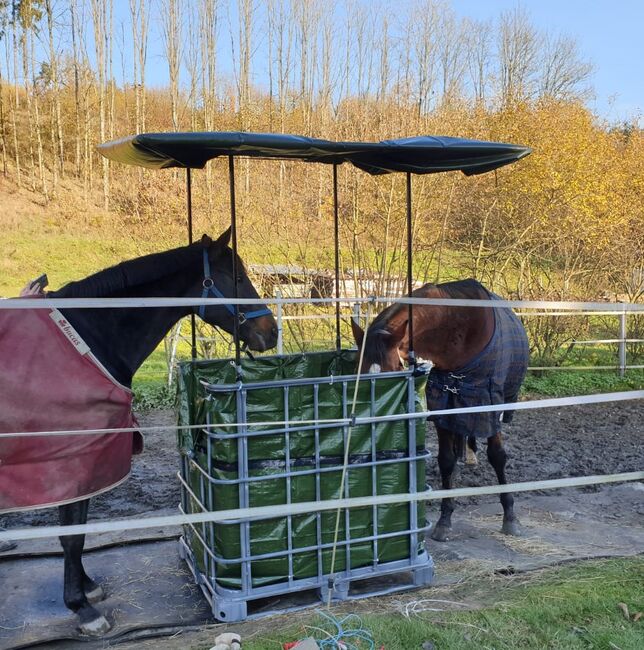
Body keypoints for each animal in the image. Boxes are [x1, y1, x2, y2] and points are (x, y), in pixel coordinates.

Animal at [0, 228, 276, 632]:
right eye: (237, 277)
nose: (271, 332)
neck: (92, 335)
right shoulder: (72, 462)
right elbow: (71, 535)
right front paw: (83, 608)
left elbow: (77, 532)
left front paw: (86, 588)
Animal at [352, 278, 528, 540]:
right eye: (358, 373)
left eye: (393, 372)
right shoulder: (443, 408)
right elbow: (446, 459)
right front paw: (445, 520)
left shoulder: (490, 404)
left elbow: (497, 456)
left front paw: (510, 517)